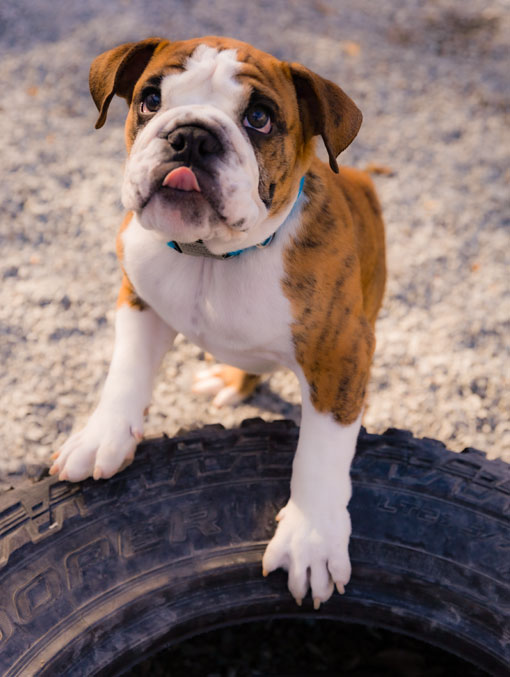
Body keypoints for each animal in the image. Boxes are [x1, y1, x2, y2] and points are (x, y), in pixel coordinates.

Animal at [50, 37, 386, 608]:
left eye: (259, 118)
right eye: (151, 99)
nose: (191, 136)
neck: (211, 257)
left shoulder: (340, 356)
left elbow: (321, 453)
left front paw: (311, 539)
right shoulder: (137, 297)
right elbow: (126, 372)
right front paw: (102, 436)